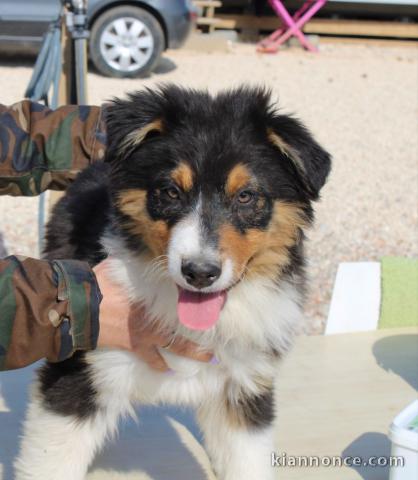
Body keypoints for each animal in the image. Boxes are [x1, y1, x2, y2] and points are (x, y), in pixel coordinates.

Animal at [15, 84, 330, 478]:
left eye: (246, 196)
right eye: (170, 192)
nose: (199, 272)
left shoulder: (244, 385)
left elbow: (247, 462)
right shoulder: (78, 372)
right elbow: (50, 463)